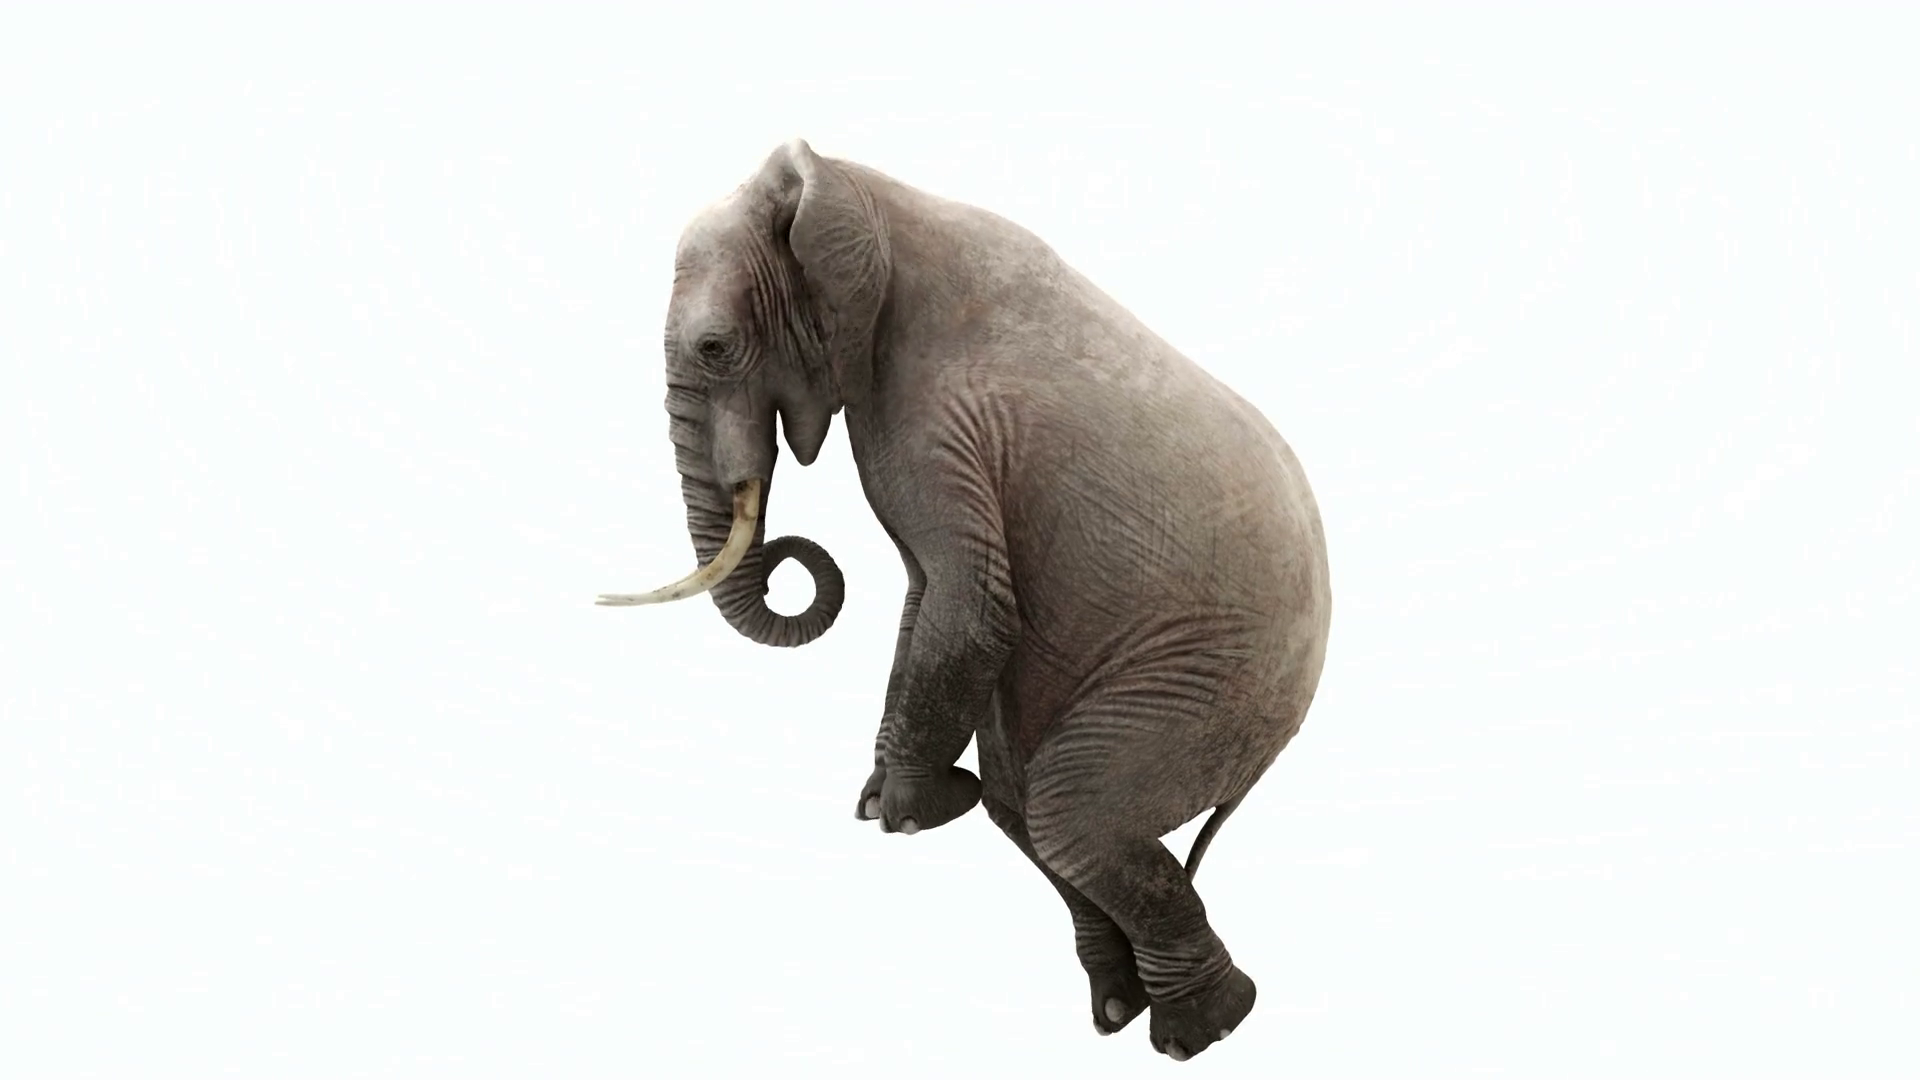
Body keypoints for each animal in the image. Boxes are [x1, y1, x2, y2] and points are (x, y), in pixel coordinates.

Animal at [599, 139, 1332, 1061]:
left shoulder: (936, 417)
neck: (859, 192)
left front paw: (904, 815)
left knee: (1071, 814)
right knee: (1028, 813)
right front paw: (887, 799)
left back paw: (1202, 1029)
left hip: (1221, 678)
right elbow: (929, 594)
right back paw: (1121, 1009)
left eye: (715, 347)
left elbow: (968, 596)